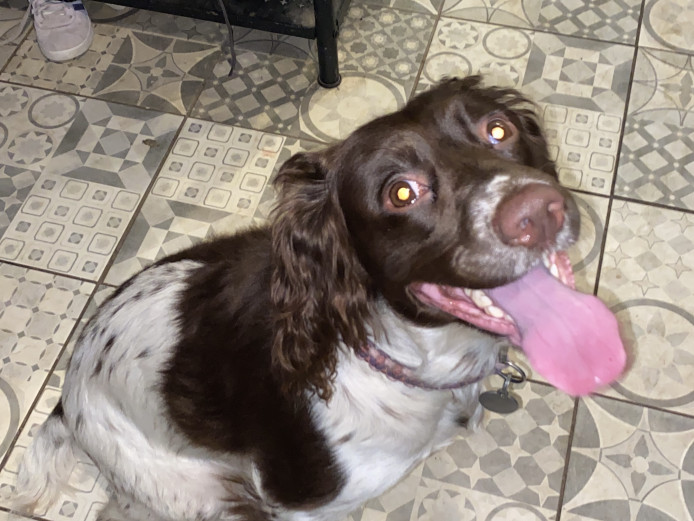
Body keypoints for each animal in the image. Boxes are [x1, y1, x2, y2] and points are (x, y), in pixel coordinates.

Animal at [13, 77, 628, 520]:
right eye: (400, 192)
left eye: (498, 130)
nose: (538, 212)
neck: (407, 361)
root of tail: (68, 392)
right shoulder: (298, 504)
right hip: (198, 491)